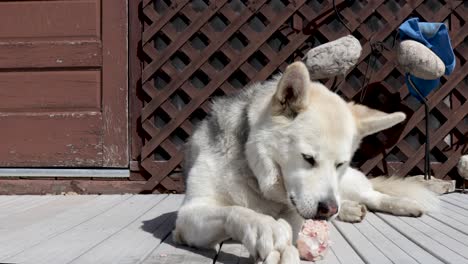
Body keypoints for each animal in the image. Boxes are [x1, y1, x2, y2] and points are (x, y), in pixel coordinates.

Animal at [173, 60, 438, 262]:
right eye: (308, 158)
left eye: (339, 164)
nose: (327, 209)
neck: (255, 175)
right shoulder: (188, 217)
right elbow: (235, 211)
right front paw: (265, 227)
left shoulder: (297, 211)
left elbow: (288, 224)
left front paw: (284, 242)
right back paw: (348, 210)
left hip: (346, 186)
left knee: (372, 194)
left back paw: (403, 204)